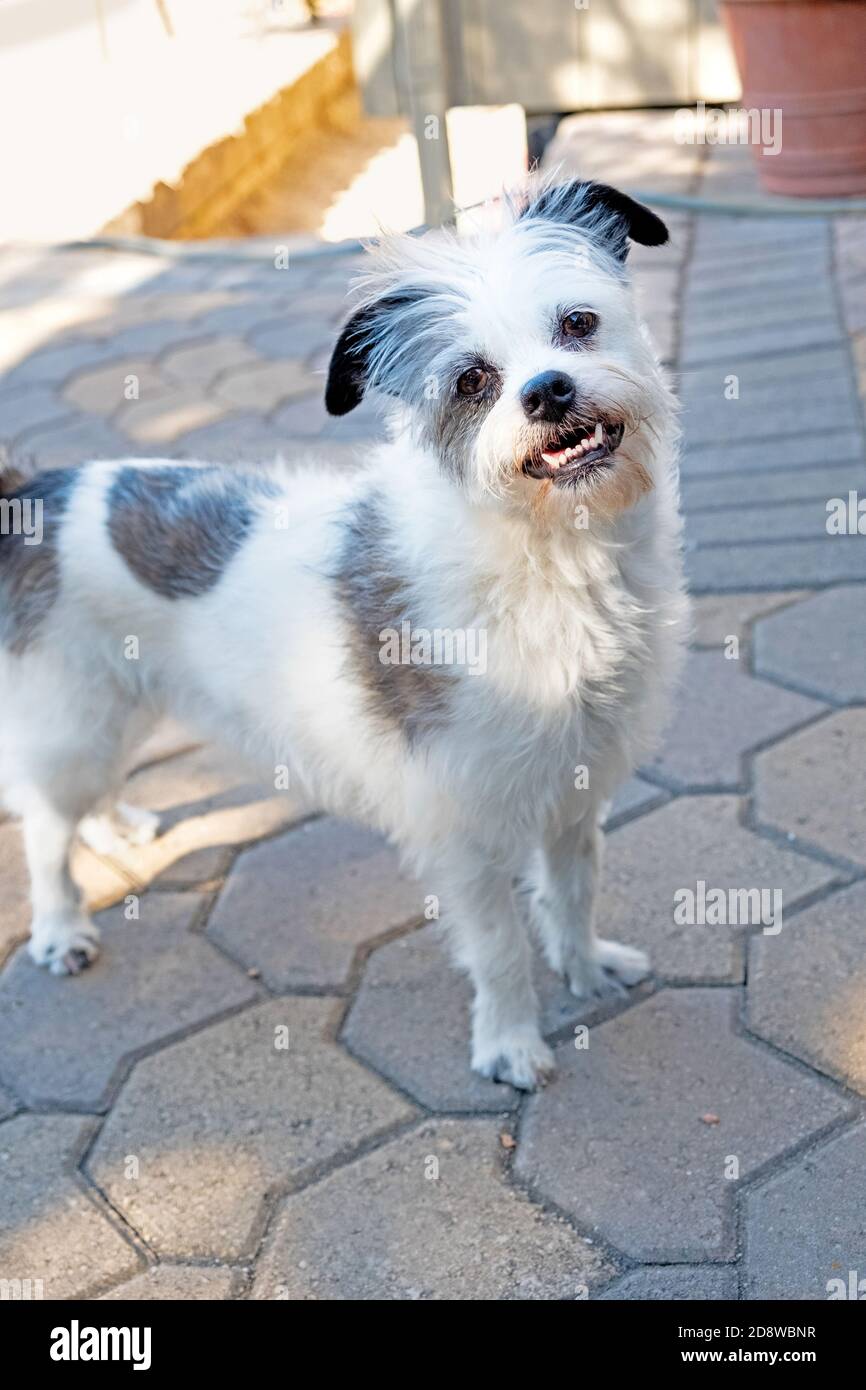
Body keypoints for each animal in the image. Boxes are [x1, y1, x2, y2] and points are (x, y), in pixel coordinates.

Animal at [1, 179, 692, 1089]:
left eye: (578, 323)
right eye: (472, 379)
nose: (548, 391)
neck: (548, 553)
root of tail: (35, 491)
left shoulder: (573, 790)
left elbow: (572, 896)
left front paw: (583, 968)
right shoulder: (463, 825)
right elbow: (500, 947)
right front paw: (510, 1041)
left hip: (112, 706)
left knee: (79, 797)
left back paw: (114, 828)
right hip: (72, 714)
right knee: (44, 824)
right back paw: (59, 925)